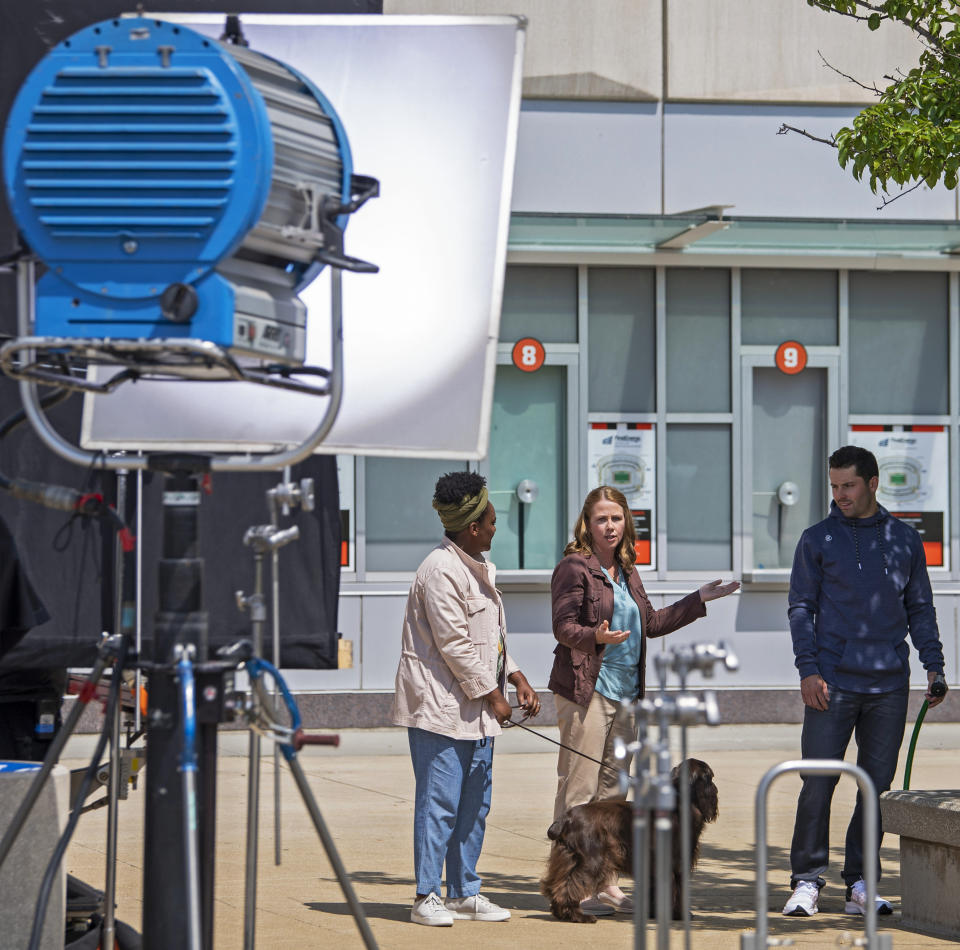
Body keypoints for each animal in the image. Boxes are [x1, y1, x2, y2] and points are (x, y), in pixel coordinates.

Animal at [544, 760, 716, 924]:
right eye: (710, 777)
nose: (715, 788)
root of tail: (566, 818)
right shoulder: (675, 864)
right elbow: (676, 891)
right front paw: (678, 915)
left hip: (568, 858)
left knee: (556, 884)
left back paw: (562, 913)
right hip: (591, 860)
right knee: (570, 886)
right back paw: (580, 917)